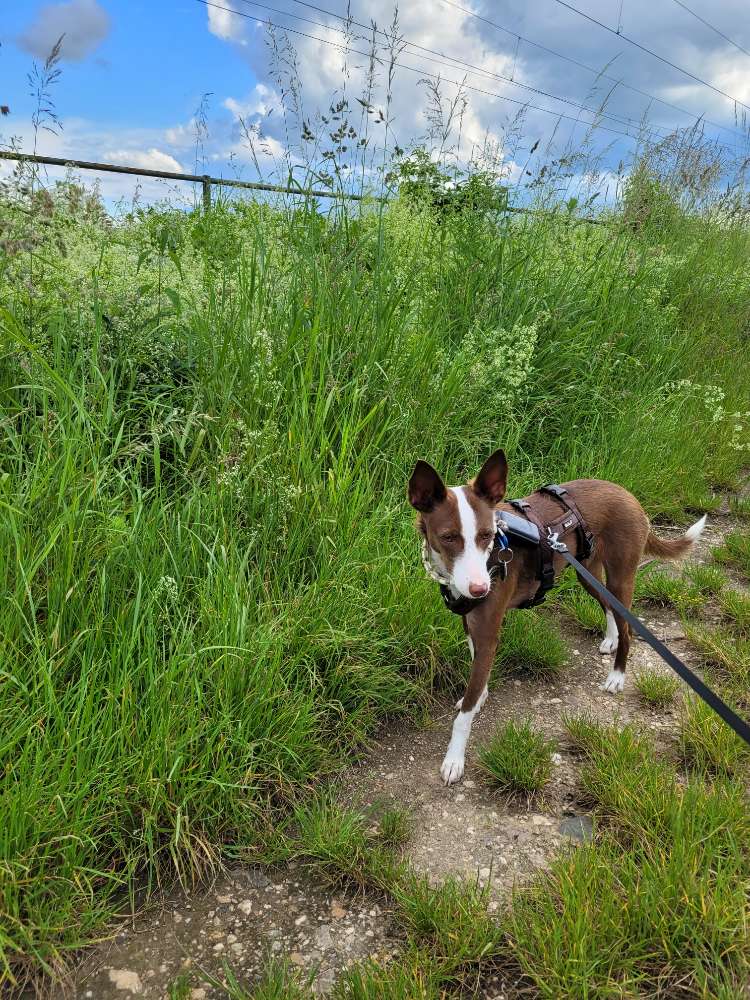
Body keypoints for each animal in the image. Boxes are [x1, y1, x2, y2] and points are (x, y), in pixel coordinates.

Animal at [408, 450, 708, 784]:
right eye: (448, 537)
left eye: (487, 535)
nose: (480, 588)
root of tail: (629, 495)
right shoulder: (471, 624)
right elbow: (476, 677)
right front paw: (480, 695)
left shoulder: (488, 633)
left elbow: (464, 716)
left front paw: (454, 759)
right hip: (587, 573)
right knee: (608, 607)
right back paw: (611, 638)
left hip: (620, 576)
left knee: (628, 626)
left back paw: (617, 676)